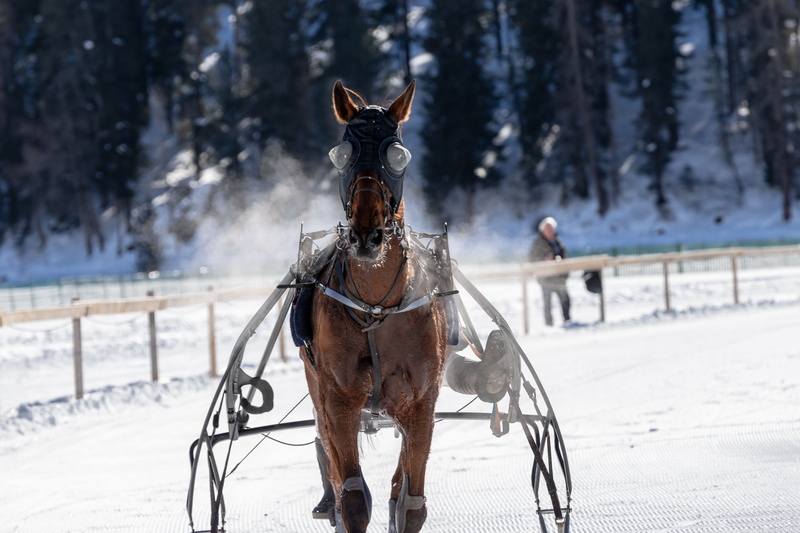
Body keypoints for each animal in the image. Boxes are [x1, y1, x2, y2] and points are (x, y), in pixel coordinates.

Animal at [300, 80, 448, 533]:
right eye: (341, 154)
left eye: (397, 155)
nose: (367, 234)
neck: (375, 308)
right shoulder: (339, 401)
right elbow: (351, 498)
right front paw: (343, 504)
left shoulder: (421, 402)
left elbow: (411, 503)